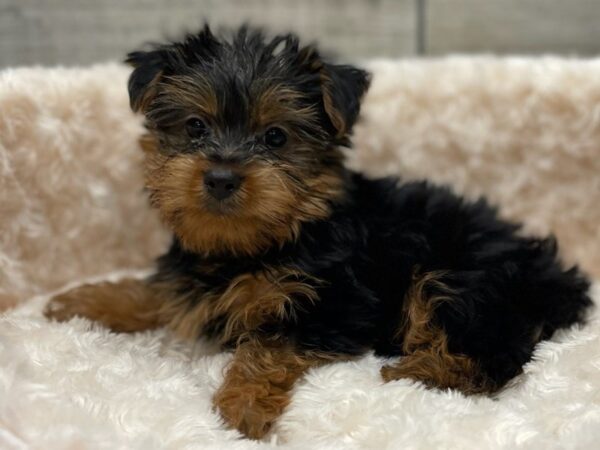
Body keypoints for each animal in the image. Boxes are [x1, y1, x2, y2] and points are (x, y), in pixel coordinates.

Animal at [44, 25, 592, 440]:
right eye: (195, 127)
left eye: (275, 137)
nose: (220, 176)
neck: (254, 243)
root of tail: (559, 280)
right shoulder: (193, 275)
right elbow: (154, 291)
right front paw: (82, 302)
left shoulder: (331, 307)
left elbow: (266, 347)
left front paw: (241, 407)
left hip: (466, 276)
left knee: (497, 355)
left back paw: (419, 371)